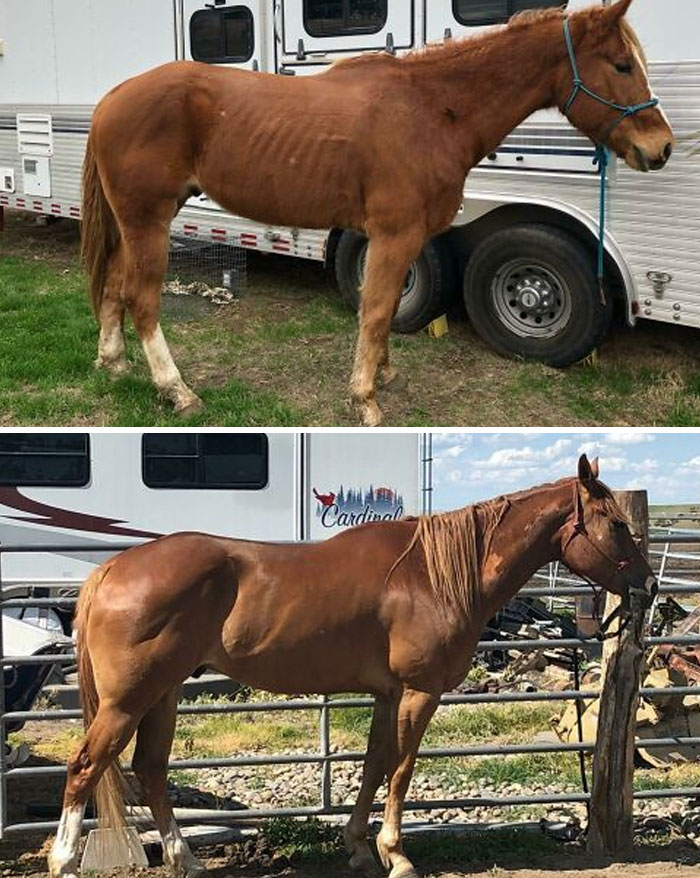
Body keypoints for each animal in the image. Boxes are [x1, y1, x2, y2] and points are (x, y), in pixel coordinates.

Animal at [47, 454, 657, 878]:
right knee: (85, 766)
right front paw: (397, 855)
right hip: (129, 700)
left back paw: (185, 860)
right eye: (615, 525)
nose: (649, 585)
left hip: (164, 693)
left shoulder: (387, 695)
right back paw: (64, 860)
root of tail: (113, 570)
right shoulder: (418, 692)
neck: (432, 574)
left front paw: (361, 849)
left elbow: (373, 766)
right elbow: (403, 770)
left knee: (150, 770)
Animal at [81, 0, 673, 427]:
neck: (433, 108)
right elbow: (376, 308)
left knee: (113, 287)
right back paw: (177, 391)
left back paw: (111, 363)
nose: (662, 147)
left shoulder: (408, 238)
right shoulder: (394, 233)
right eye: (621, 65)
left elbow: (385, 310)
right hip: (149, 222)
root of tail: (113, 97)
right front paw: (364, 397)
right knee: (142, 299)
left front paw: (383, 373)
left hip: (133, 225)